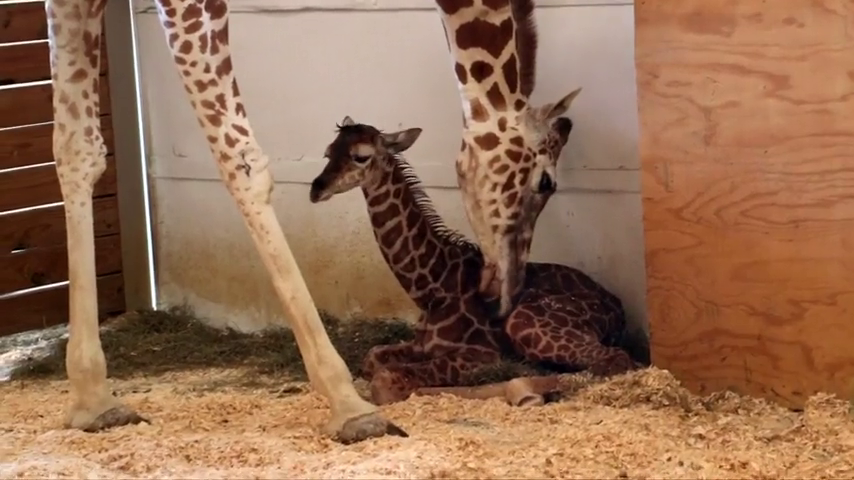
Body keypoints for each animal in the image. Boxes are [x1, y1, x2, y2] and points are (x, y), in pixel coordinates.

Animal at [308, 117, 640, 405]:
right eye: (327, 152)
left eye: (361, 156)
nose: (316, 189)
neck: (431, 290)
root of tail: (618, 308)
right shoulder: (419, 345)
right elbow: (372, 357)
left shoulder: (481, 353)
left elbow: (385, 381)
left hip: (525, 322)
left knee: (615, 360)